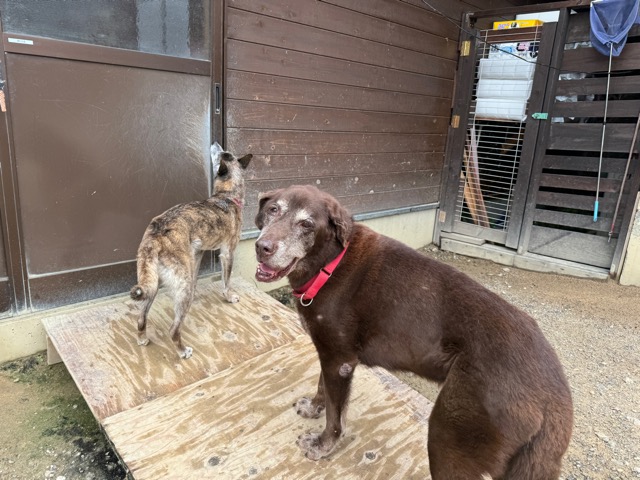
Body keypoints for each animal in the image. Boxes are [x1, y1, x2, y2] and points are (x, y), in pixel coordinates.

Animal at [130, 144, 252, 359]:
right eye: (221, 154)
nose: (215, 144)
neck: (227, 196)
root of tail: (155, 236)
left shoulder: (197, 254)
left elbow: (196, 277)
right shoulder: (227, 253)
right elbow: (226, 281)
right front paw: (229, 297)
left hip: (153, 283)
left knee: (141, 317)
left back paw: (142, 339)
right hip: (176, 282)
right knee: (173, 329)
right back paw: (182, 351)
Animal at [254, 185, 573, 479]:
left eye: (307, 224)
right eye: (273, 210)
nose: (262, 247)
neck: (329, 265)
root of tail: (557, 398)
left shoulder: (340, 361)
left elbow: (336, 415)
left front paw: (322, 446)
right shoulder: (329, 353)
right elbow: (323, 389)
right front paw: (313, 408)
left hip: (448, 435)